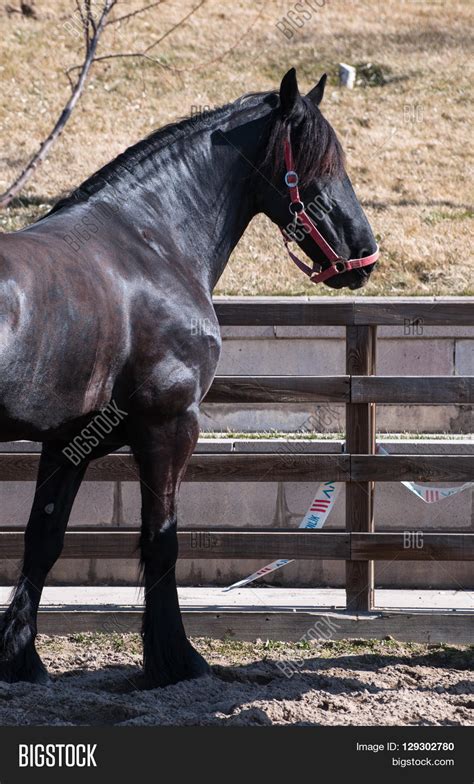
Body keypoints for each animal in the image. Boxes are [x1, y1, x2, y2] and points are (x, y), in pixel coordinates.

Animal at [0, 72, 378, 688]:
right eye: (320, 165)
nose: (364, 253)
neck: (150, 242)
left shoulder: (67, 442)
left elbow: (43, 541)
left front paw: (20, 658)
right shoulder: (170, 426)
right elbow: (161, 540)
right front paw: (174, 660)